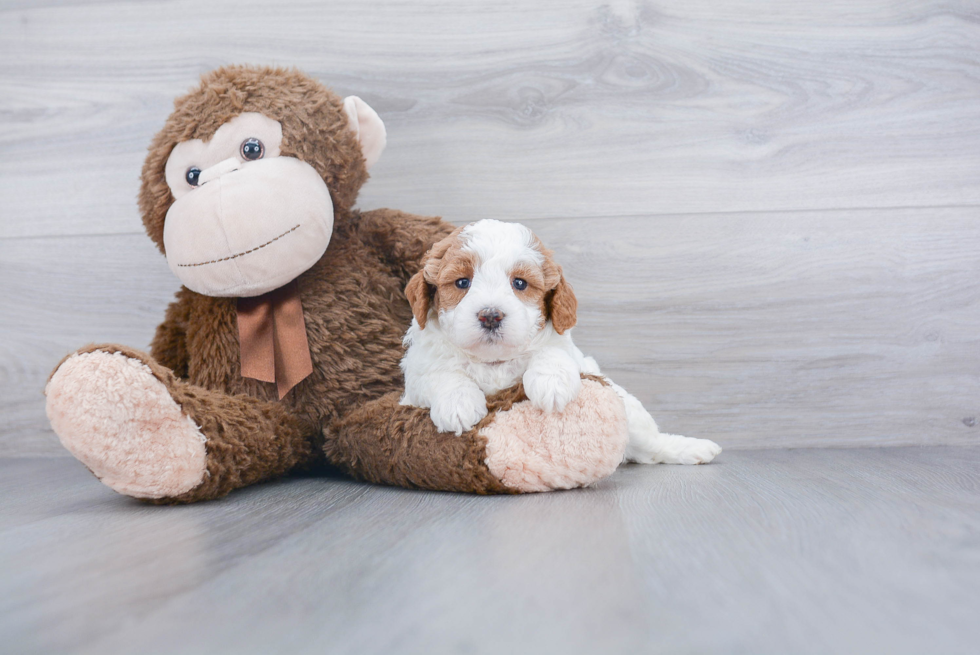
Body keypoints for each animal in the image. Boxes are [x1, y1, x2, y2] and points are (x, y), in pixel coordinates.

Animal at [402, 218, 724, 464]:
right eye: (461, 282)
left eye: (519, 283)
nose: (490, 315)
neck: (494, 361)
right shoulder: (415, 382)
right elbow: (442, 374)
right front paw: (459, 405)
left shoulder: (569, 351)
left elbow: (552, 352)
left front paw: (551, 385)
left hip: (632, 413)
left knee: (651, 445)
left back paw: (691, 449)